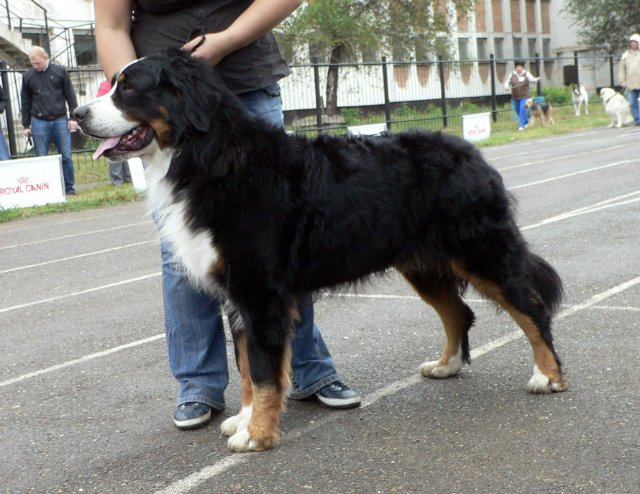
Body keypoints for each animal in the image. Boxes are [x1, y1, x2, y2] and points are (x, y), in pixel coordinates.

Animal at [72, 49, 568, 452]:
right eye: (112, 84)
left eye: (129, 89)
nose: (77, 113)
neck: (210, 157)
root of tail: (471, 151)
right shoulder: (238, 295)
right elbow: (248, 369)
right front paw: (244, 420)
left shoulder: (260, 292)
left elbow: (265, 372)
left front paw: (257, 435)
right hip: (422, 263)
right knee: (458, 312)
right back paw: (446, 366)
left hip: (480, 251)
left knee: (532, 308)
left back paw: (548, 376)